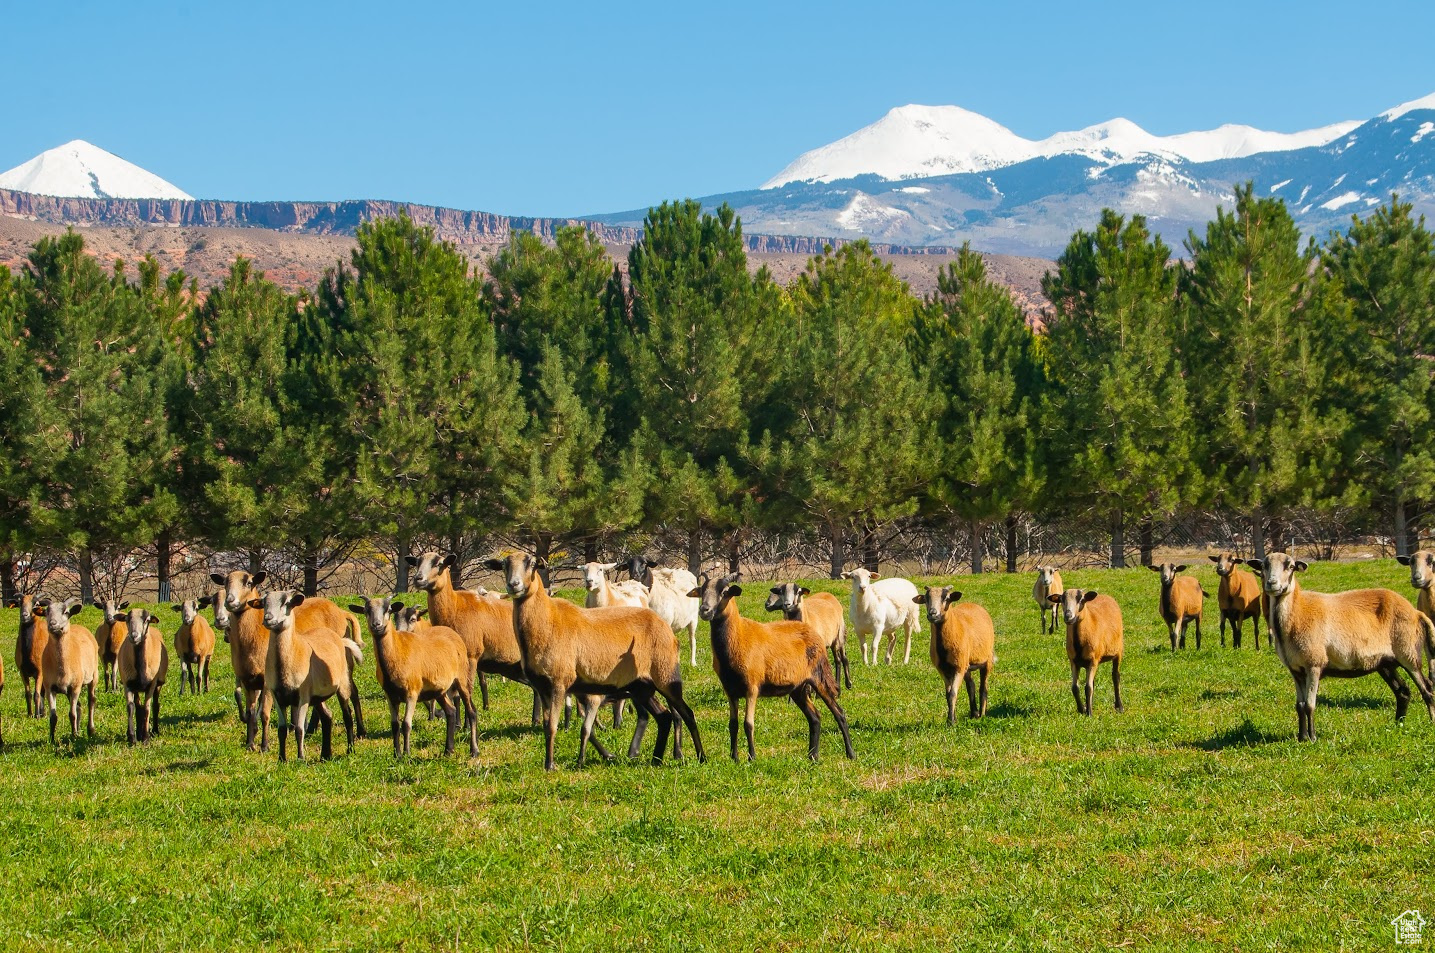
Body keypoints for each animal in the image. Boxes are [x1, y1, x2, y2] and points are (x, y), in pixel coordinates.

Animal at [40, 597, 99, 746]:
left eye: (66, 612)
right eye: (47, 611)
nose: (52, 624)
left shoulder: (75, 687)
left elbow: (71, 714)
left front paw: (74, 738)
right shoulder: (49, 687)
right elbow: (53, 716)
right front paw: (52, 739)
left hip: (94, 675)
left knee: (91, 701)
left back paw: (90, 730)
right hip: (67, 690)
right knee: (78, 706)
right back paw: (77, 731)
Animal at [116, 611, 168, 746]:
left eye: (146, 620)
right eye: (127, 619)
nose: (134, 636)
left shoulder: (151, 685)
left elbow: (147, 708)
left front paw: (145, 738)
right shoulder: (128, 684)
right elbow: (131, 708)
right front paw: (132, 738)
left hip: (158, 684)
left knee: (155, 705)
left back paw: (154, 731)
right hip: (136, 687)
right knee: (138, 707)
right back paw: (138, 733)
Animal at [691, 568, 849, 763]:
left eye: (724, 592)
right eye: (702, 591)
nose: (704, 610)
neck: (738, 636)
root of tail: (810, 630)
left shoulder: (752, 687)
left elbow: (748, 724)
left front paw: (751, 758)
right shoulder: (730, 690)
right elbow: (733, 724)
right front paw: (734, 758)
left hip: (820, 677)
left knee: (839, 713)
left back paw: (850, 754)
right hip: (798, 688)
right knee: (815, 717)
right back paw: (813, 756)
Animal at [918, 588, 998, 723]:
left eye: (946, 598)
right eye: (926, 598)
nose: (933, 613)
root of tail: (974, 604)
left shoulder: (958, 668)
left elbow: (952, 694)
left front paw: (950, 722)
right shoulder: (943, 669)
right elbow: (948, 694)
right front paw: (952, 718)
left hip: (986, 660)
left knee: (983, 687)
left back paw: (982, 714)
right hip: (966, 664)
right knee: (971, 686)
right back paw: (974, 713)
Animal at [1245, 551, 1435, 746]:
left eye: (1290, 566)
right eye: (1264, 566)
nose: (1271, 584)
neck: (1297, 614)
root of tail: (1416, 613)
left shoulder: (1314, 664)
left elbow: (1310, 705)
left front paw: (1312, 738)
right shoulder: (1296, 670)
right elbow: (1299, 706)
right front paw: (1301, 737)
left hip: (1408, 653)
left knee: (1427, 688)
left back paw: (1430, 721)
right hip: (1385, 662)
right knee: (1403, 692)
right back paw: (1398, 725)